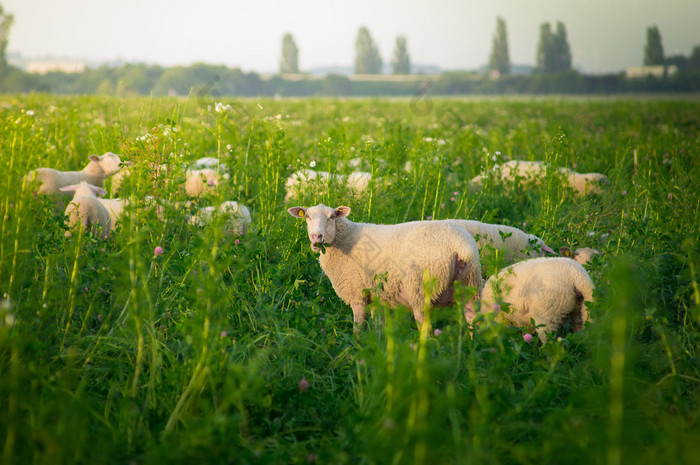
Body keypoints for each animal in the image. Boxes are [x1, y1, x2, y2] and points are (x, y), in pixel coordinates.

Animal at [288, 203, 482, 330]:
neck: (343, 238)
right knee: (474, 321)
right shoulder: (375, 295)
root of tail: (462, 247)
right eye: (307, 217)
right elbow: (377, 324)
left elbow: (358, 325)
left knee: (425, 328)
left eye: (332, 217)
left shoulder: (356, 291)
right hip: (470, 285)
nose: (316, 237)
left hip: (421, 289)